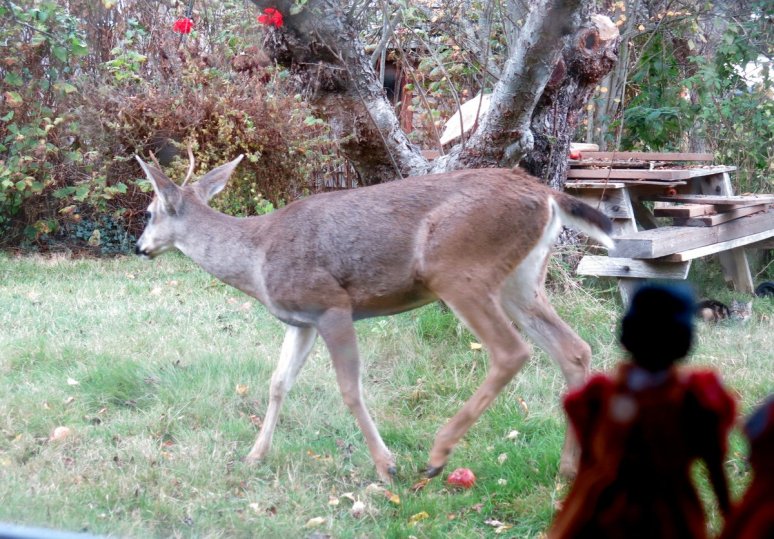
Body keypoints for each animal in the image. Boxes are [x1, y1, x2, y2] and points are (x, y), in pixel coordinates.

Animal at [135, 153, 613, 482]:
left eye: (149, 212)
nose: (141, 247)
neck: (256, 258)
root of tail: (548, 195)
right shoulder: (301, 320)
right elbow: (277, 383)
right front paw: (255, 455)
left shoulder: (331, 304)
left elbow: (349, 388)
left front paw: (386, 465)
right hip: (522, 279)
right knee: (573, 349)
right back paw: (568, 469)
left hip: (458, 268)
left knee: (511, 351)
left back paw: (437, 455)